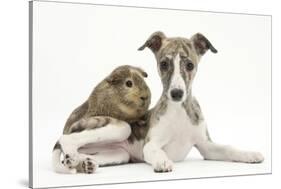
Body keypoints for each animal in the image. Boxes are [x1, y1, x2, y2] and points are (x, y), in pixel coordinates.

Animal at [138, 31, 262, 173]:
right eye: (163, 64)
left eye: (190, 65)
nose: (177, 93)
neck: (178, 110)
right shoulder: (150, 143)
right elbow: (155, 150)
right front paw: (162, 161)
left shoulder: (206, 146)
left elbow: (228, 148)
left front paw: (248, 154)